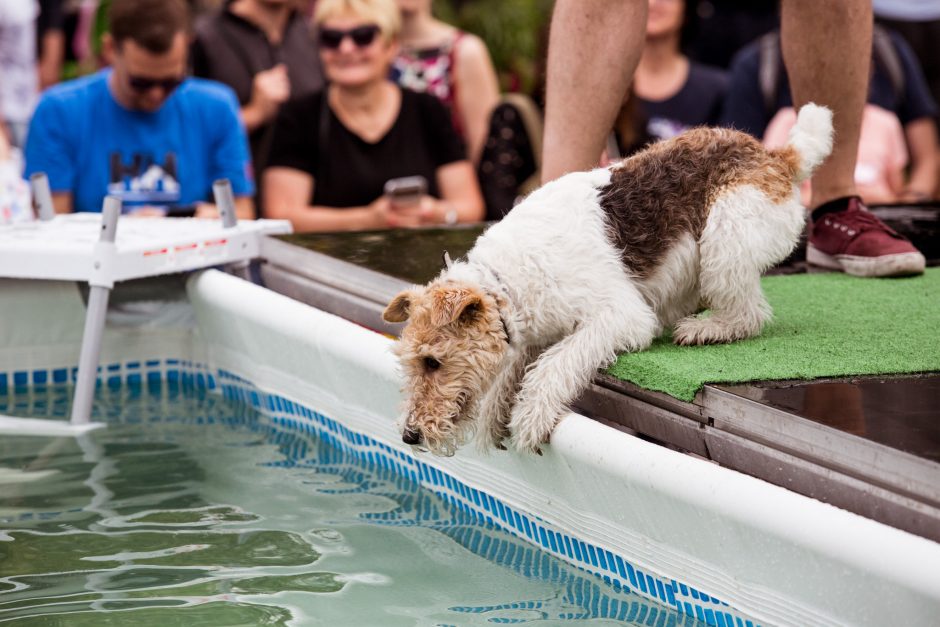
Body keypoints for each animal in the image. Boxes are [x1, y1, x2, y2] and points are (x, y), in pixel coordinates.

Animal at [382, 103, 828, 456]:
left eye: (432, 361)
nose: (410, 435)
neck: (505, 282)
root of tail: (776, 155)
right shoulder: (531, 327)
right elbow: (516, 366)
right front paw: (494, 417)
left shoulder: (618, 316)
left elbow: (556, 362)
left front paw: (528, 418)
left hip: (725, 235)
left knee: (749, 312)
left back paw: (705, 329)